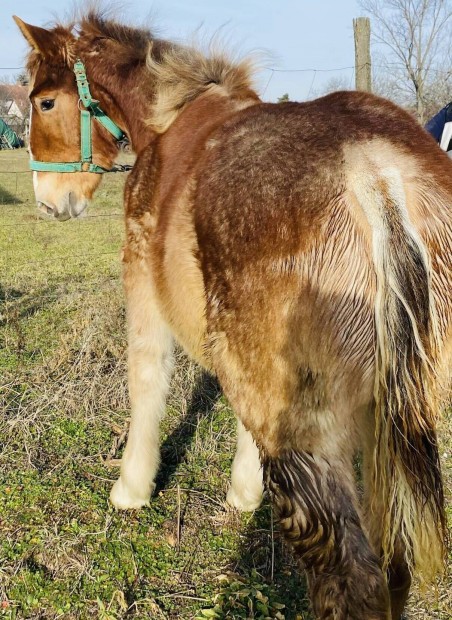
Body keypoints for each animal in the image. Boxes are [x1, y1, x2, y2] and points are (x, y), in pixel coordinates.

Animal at [15, 10, 452, 620]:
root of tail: (374, 175)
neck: (172, 116)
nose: (50, 201)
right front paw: (244, 493)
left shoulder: (142, 277)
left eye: (45, 101)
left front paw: (131, 490)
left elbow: (147, 379)